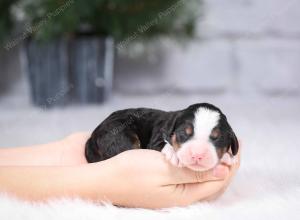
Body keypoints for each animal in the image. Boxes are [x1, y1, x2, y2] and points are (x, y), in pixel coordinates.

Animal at [85, 102, 239, 171]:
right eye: (184, 133)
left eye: (217, 138)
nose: (197, 155)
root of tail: (92, 136)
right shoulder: (158, 135)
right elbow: (163, 144)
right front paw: (174, 155)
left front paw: (227, 156)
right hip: (121, 136)